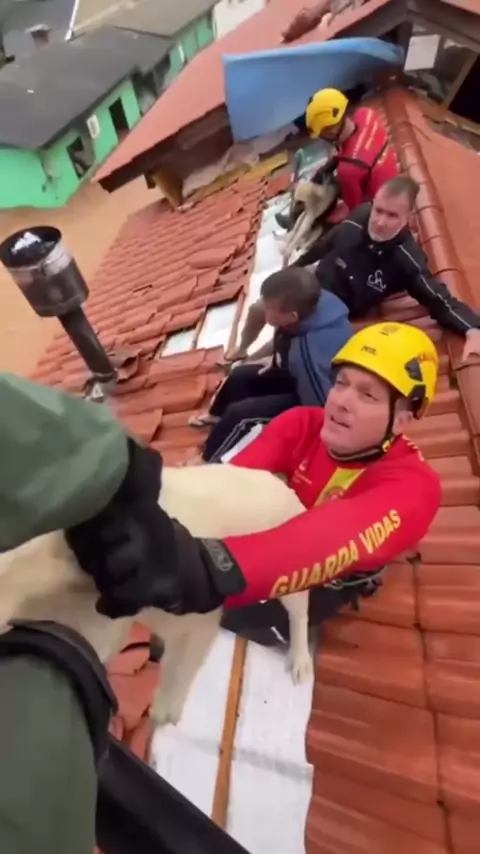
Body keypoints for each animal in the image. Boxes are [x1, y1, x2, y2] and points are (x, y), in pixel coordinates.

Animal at [0, 463, 312, 729]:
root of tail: (281, 485)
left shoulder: (192, 624)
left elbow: (180, 667)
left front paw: (164, 711)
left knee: (298, 614)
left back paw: (300, 662)